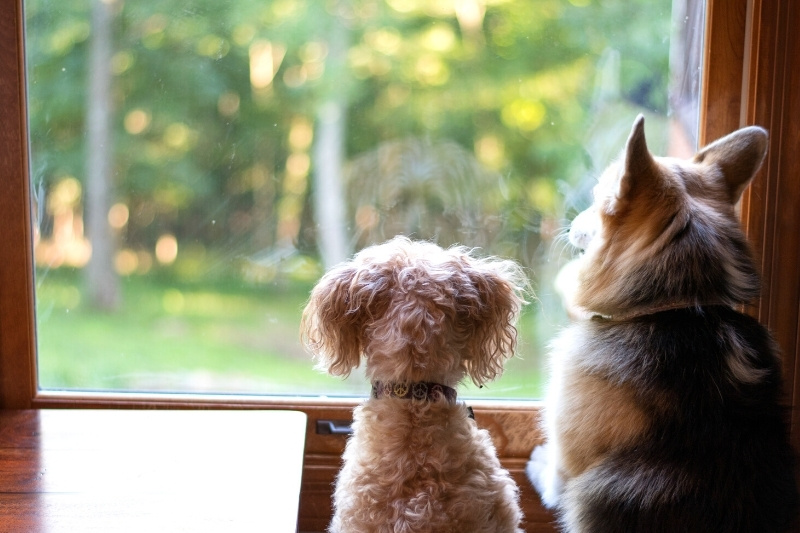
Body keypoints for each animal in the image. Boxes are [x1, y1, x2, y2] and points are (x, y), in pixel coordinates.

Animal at [528, 114, 796, 528]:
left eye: (600, 197)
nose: (570, 225)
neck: (683, 305)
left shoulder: (567, 456)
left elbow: (553, 477)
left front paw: (536, 462)